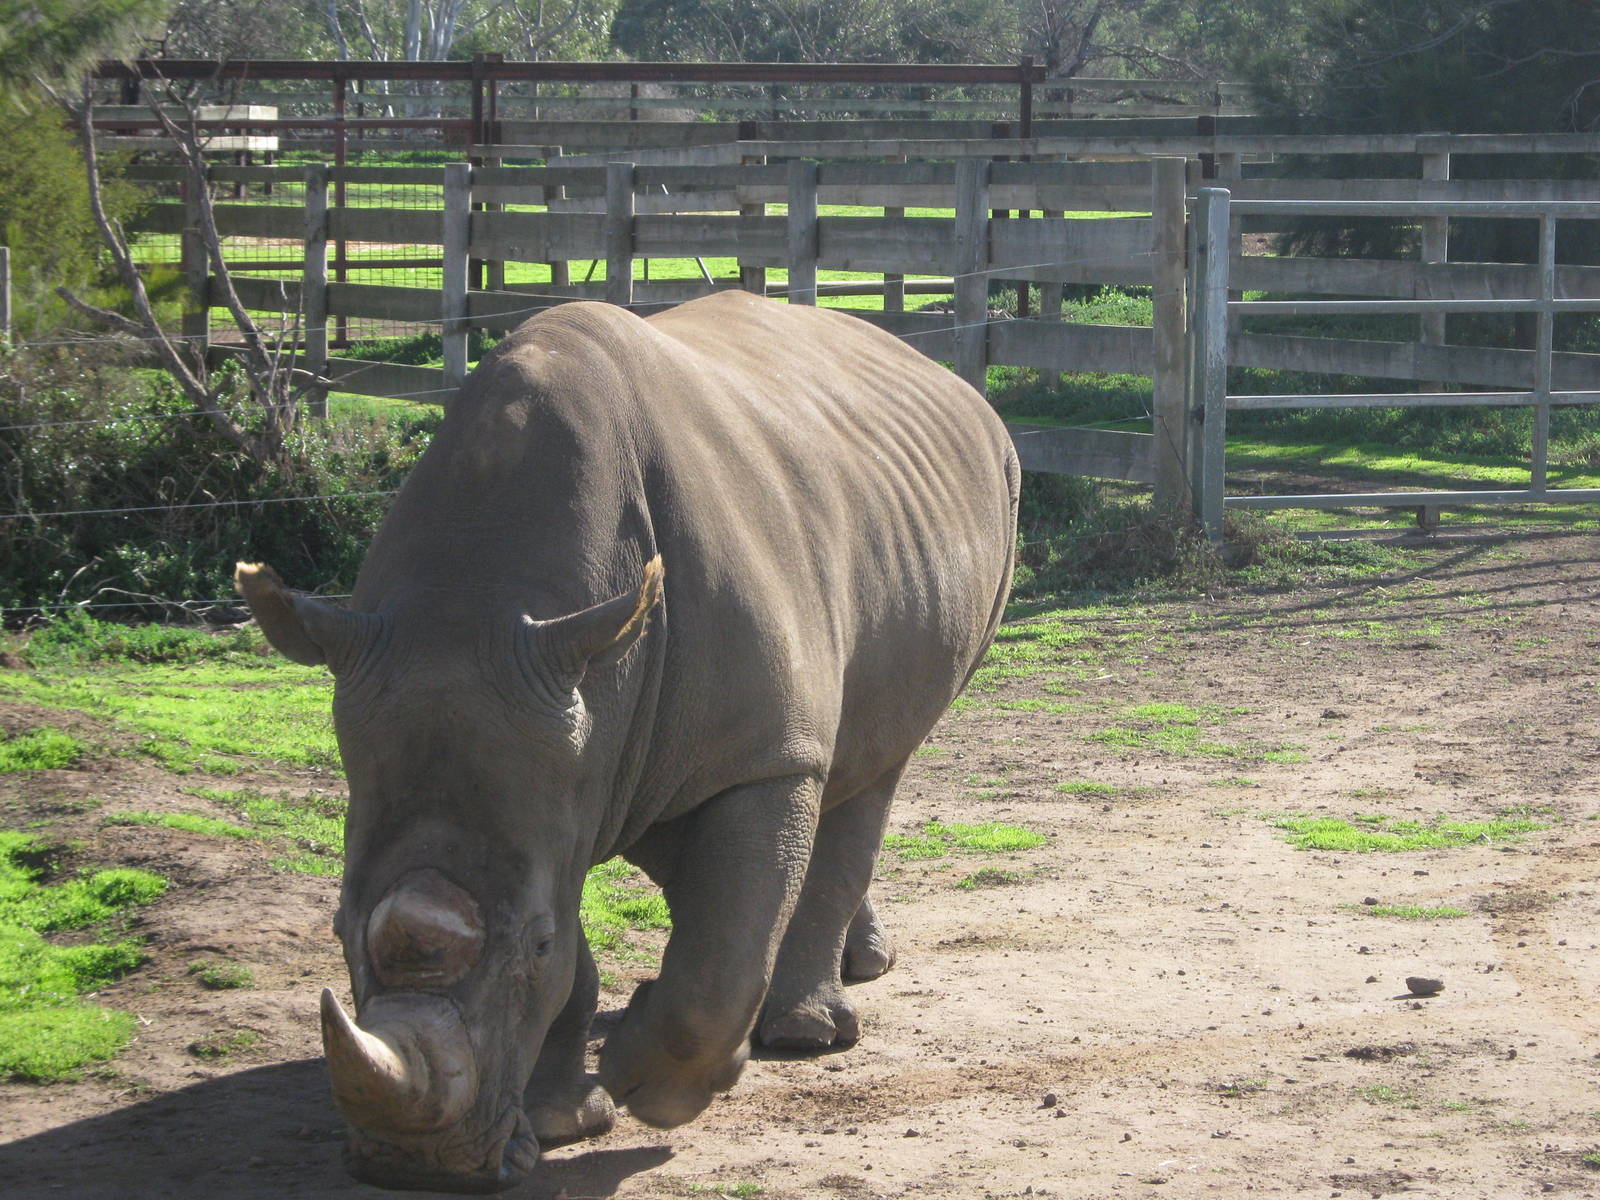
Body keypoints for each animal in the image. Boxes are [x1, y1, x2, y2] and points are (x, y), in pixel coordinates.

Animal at [235, 290, 1018, 1193]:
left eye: (532, 942)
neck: (482, 603)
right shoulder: (562, 758)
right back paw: (850, 971)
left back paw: (804, 1033)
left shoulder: (759, 755)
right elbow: (604, 939)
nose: (415, 1168)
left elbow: (710, 965)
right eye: (333, 930)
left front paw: (646, 1085)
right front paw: (560, 1119)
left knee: (872, 768)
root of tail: (947, 380)